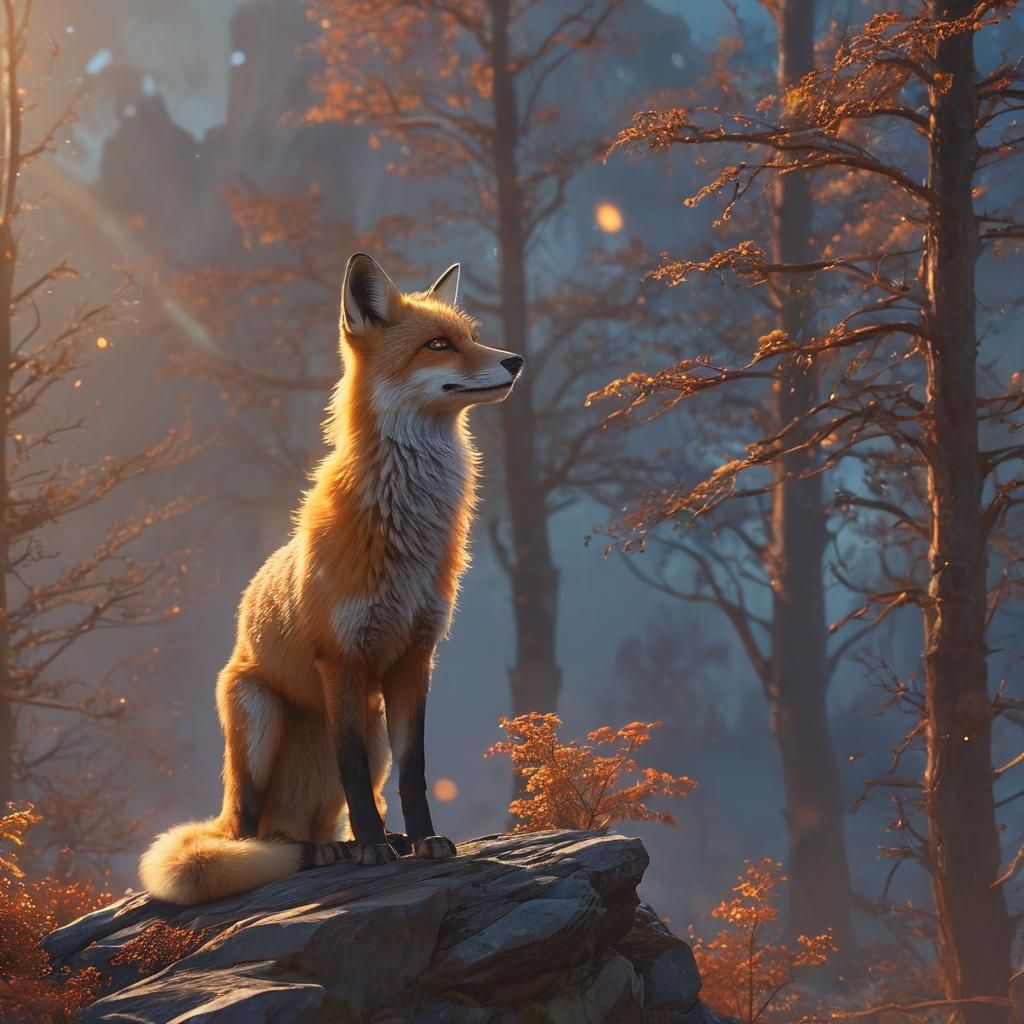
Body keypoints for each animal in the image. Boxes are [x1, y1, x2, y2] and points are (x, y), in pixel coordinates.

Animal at [139, 253, 523, 905]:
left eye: (471, 337)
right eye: (438, 345)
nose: (515, 360)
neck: (403, 531)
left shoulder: (414, 656)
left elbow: (416, 772)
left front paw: (422, 840)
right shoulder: (339, 657)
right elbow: (350, 769)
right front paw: (371, 850)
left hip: (374, 726)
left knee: (321, 816)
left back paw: (347, 843)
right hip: (259, 724)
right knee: (253, 830)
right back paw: (311, 852)